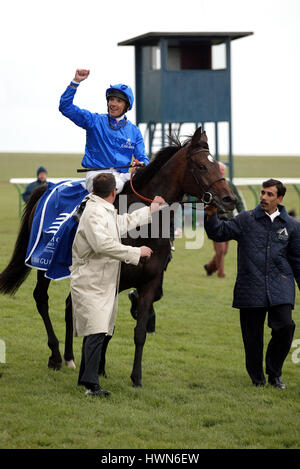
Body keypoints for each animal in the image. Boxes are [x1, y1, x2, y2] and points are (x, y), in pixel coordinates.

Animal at [0, 126, 237, 386]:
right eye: (202, 166)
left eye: (217, 166)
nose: (230, 199)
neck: (143, 226)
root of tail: (48, 186)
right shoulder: (113, 280)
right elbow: (105, 327)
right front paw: (96, 369)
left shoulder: (150, 281)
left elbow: (137, 330)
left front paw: (134, 377)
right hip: (44, 263)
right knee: (41, 298)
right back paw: (55, 355)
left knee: (70, 305)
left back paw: (70, 357)